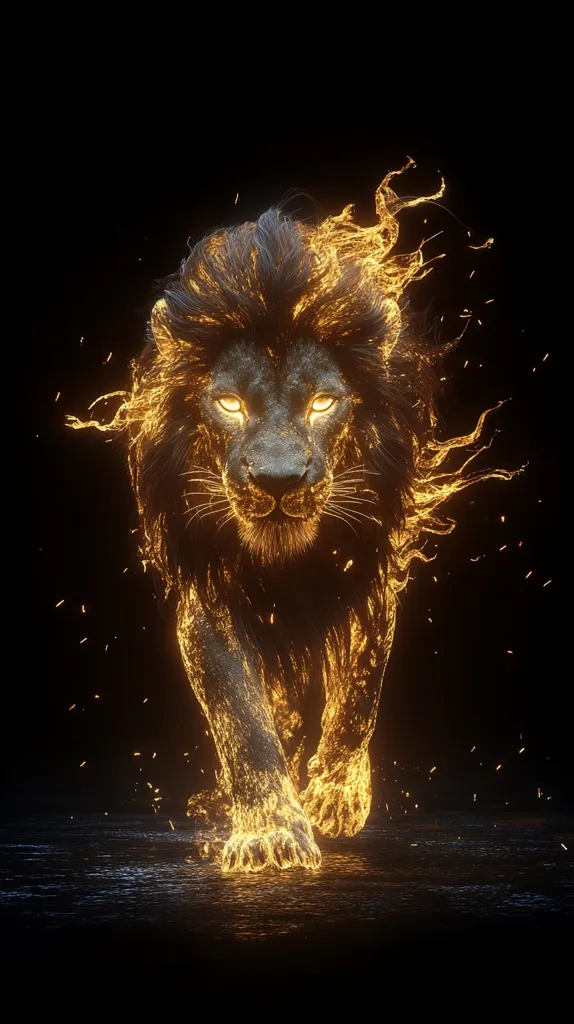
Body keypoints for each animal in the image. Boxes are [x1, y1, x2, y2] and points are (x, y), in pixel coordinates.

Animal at [68, 164, 515, 872]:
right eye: (228, 402)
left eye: (323, 402)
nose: (277, 480)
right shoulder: (208, 597)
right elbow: (242, 717)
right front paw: (269, 832)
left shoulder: (372, 577)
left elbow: (361, 689)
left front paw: (334, 795)